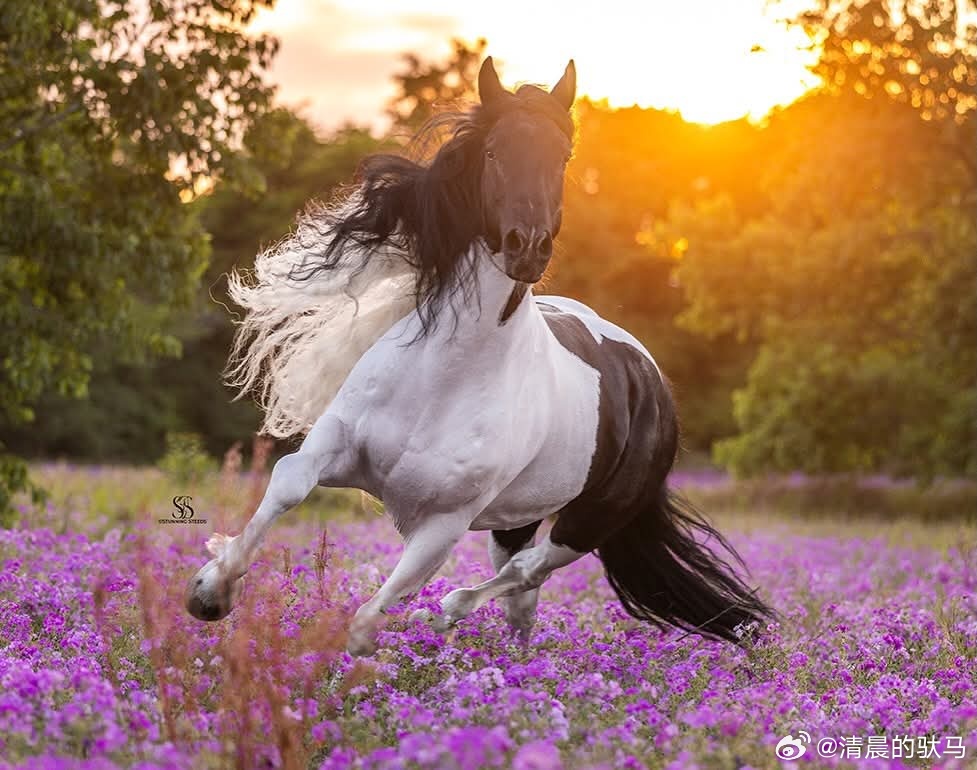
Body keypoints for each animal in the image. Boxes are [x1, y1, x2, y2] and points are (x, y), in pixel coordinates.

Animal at [186, 57, 772, 656]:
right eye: (493, 152)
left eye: (563, 156)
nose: (527, 247)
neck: (445, 377)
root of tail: (649, 377)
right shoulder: (337, 449)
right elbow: (287, 482)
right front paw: (211, 592)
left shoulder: (442, 526)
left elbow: (365, 624)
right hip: (516, 521)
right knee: (522, 598)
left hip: (587, 521)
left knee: (528, 570)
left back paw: (447, 616)